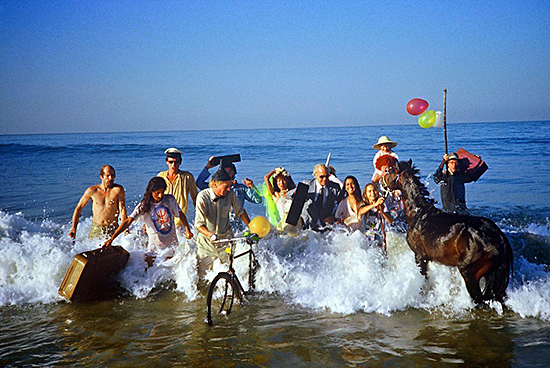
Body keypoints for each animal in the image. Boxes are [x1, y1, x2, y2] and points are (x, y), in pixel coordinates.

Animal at [382, 160, 516, 304]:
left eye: (390, 170)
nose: (382, 184)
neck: (418, 214)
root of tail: (500, 238)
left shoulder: (419, 256)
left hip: (469, 273)